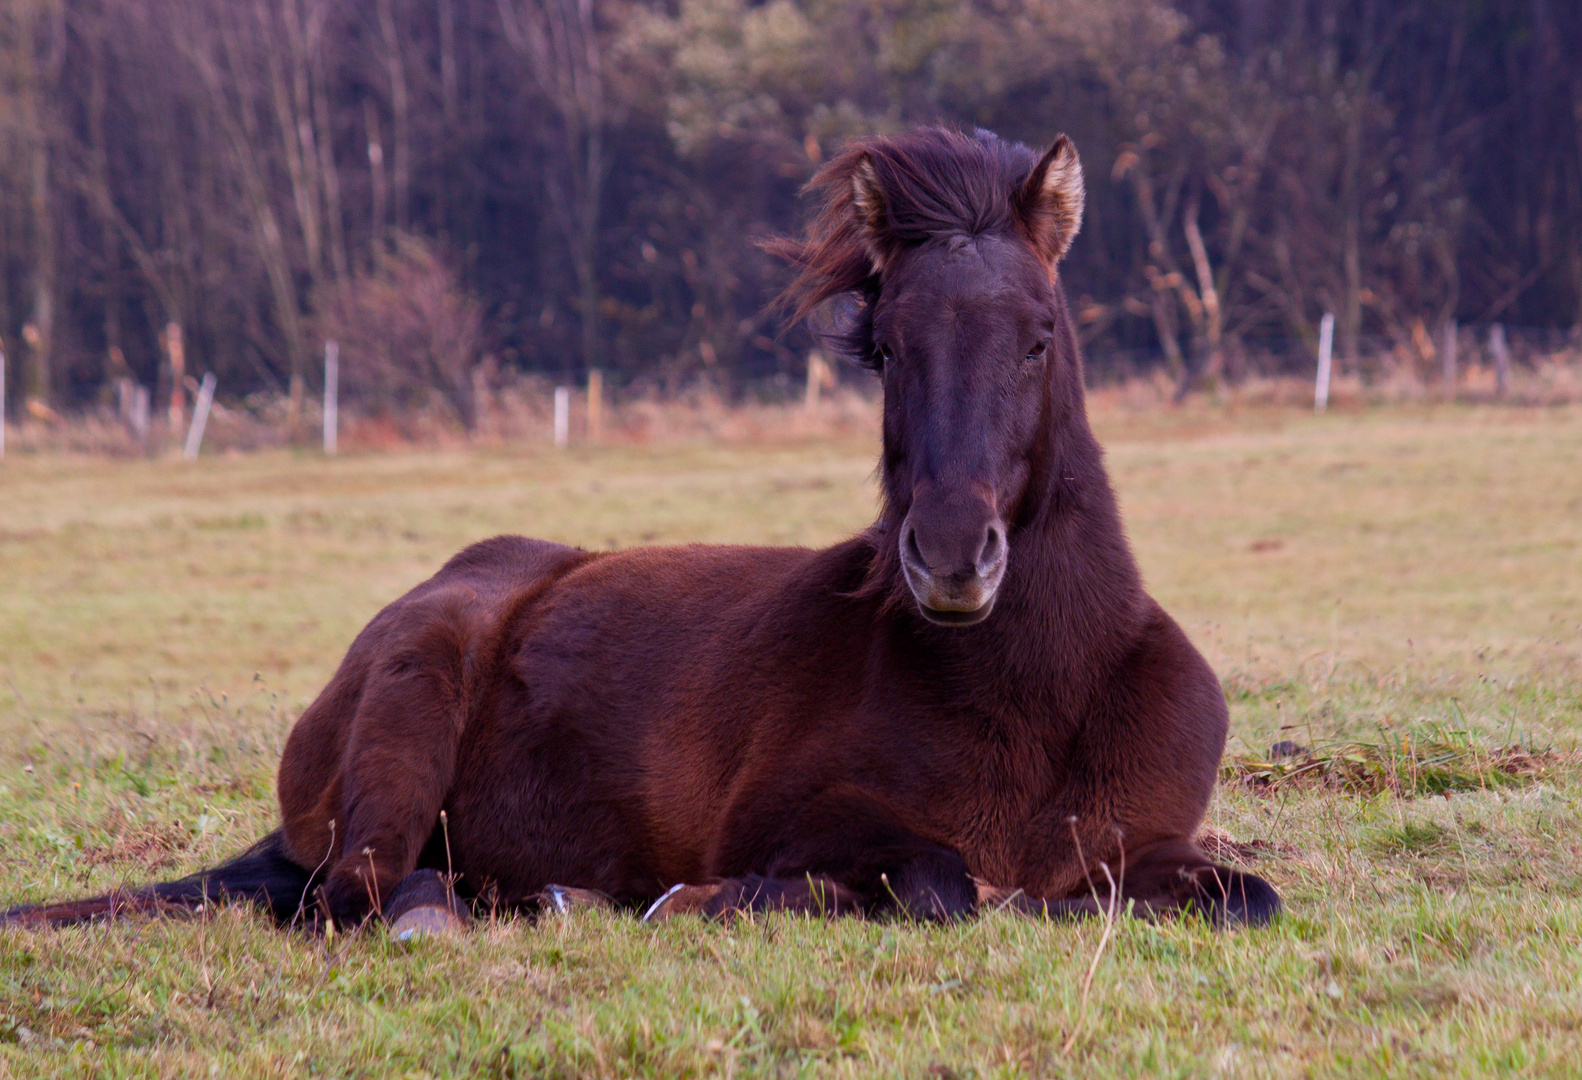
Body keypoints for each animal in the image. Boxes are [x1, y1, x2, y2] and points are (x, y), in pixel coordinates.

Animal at [0, 128, 1278, 936]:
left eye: (1038, 334)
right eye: (886, 346)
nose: (953, 560)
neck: (1033, 694)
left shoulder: (1144, 848)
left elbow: (1246, 895)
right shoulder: (804, 823)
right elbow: (937, 884)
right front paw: (690, 902)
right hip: (410, 703)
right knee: (355, 901)